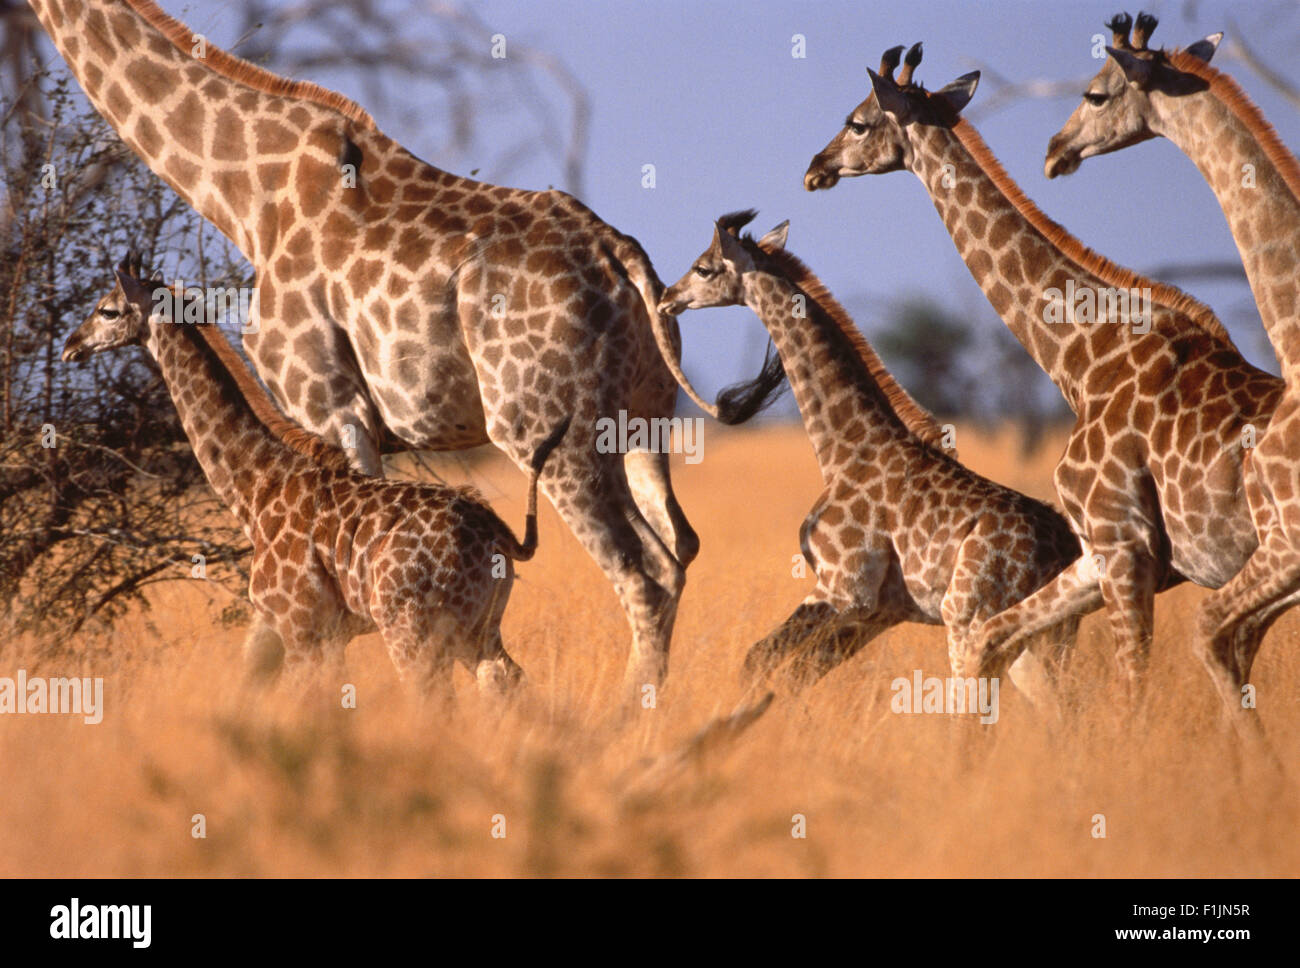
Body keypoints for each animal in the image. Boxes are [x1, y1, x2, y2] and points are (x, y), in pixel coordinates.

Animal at [61, 250, 569, 696]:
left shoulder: (303, 629)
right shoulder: (310, 632)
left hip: (413, 629)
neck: (255, 488)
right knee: (506, 684)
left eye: (107, 310)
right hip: (479, 628)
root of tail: (502, 536)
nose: (71, 347)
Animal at [655, 211, 1081, 706]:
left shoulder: (844, 590)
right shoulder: (878, 612)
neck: (844, 449)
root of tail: (1065, 547)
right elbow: (791, 671)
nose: (667, 298)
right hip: (1045, 633)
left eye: (704, 268)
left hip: (971, 620)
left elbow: (762, 660)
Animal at [795, 43, 1284, 701]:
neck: (1081, 356)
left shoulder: (1122, 547)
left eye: (858, 122)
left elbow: (1127, 685)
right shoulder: (1108, 559)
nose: (814, 168)